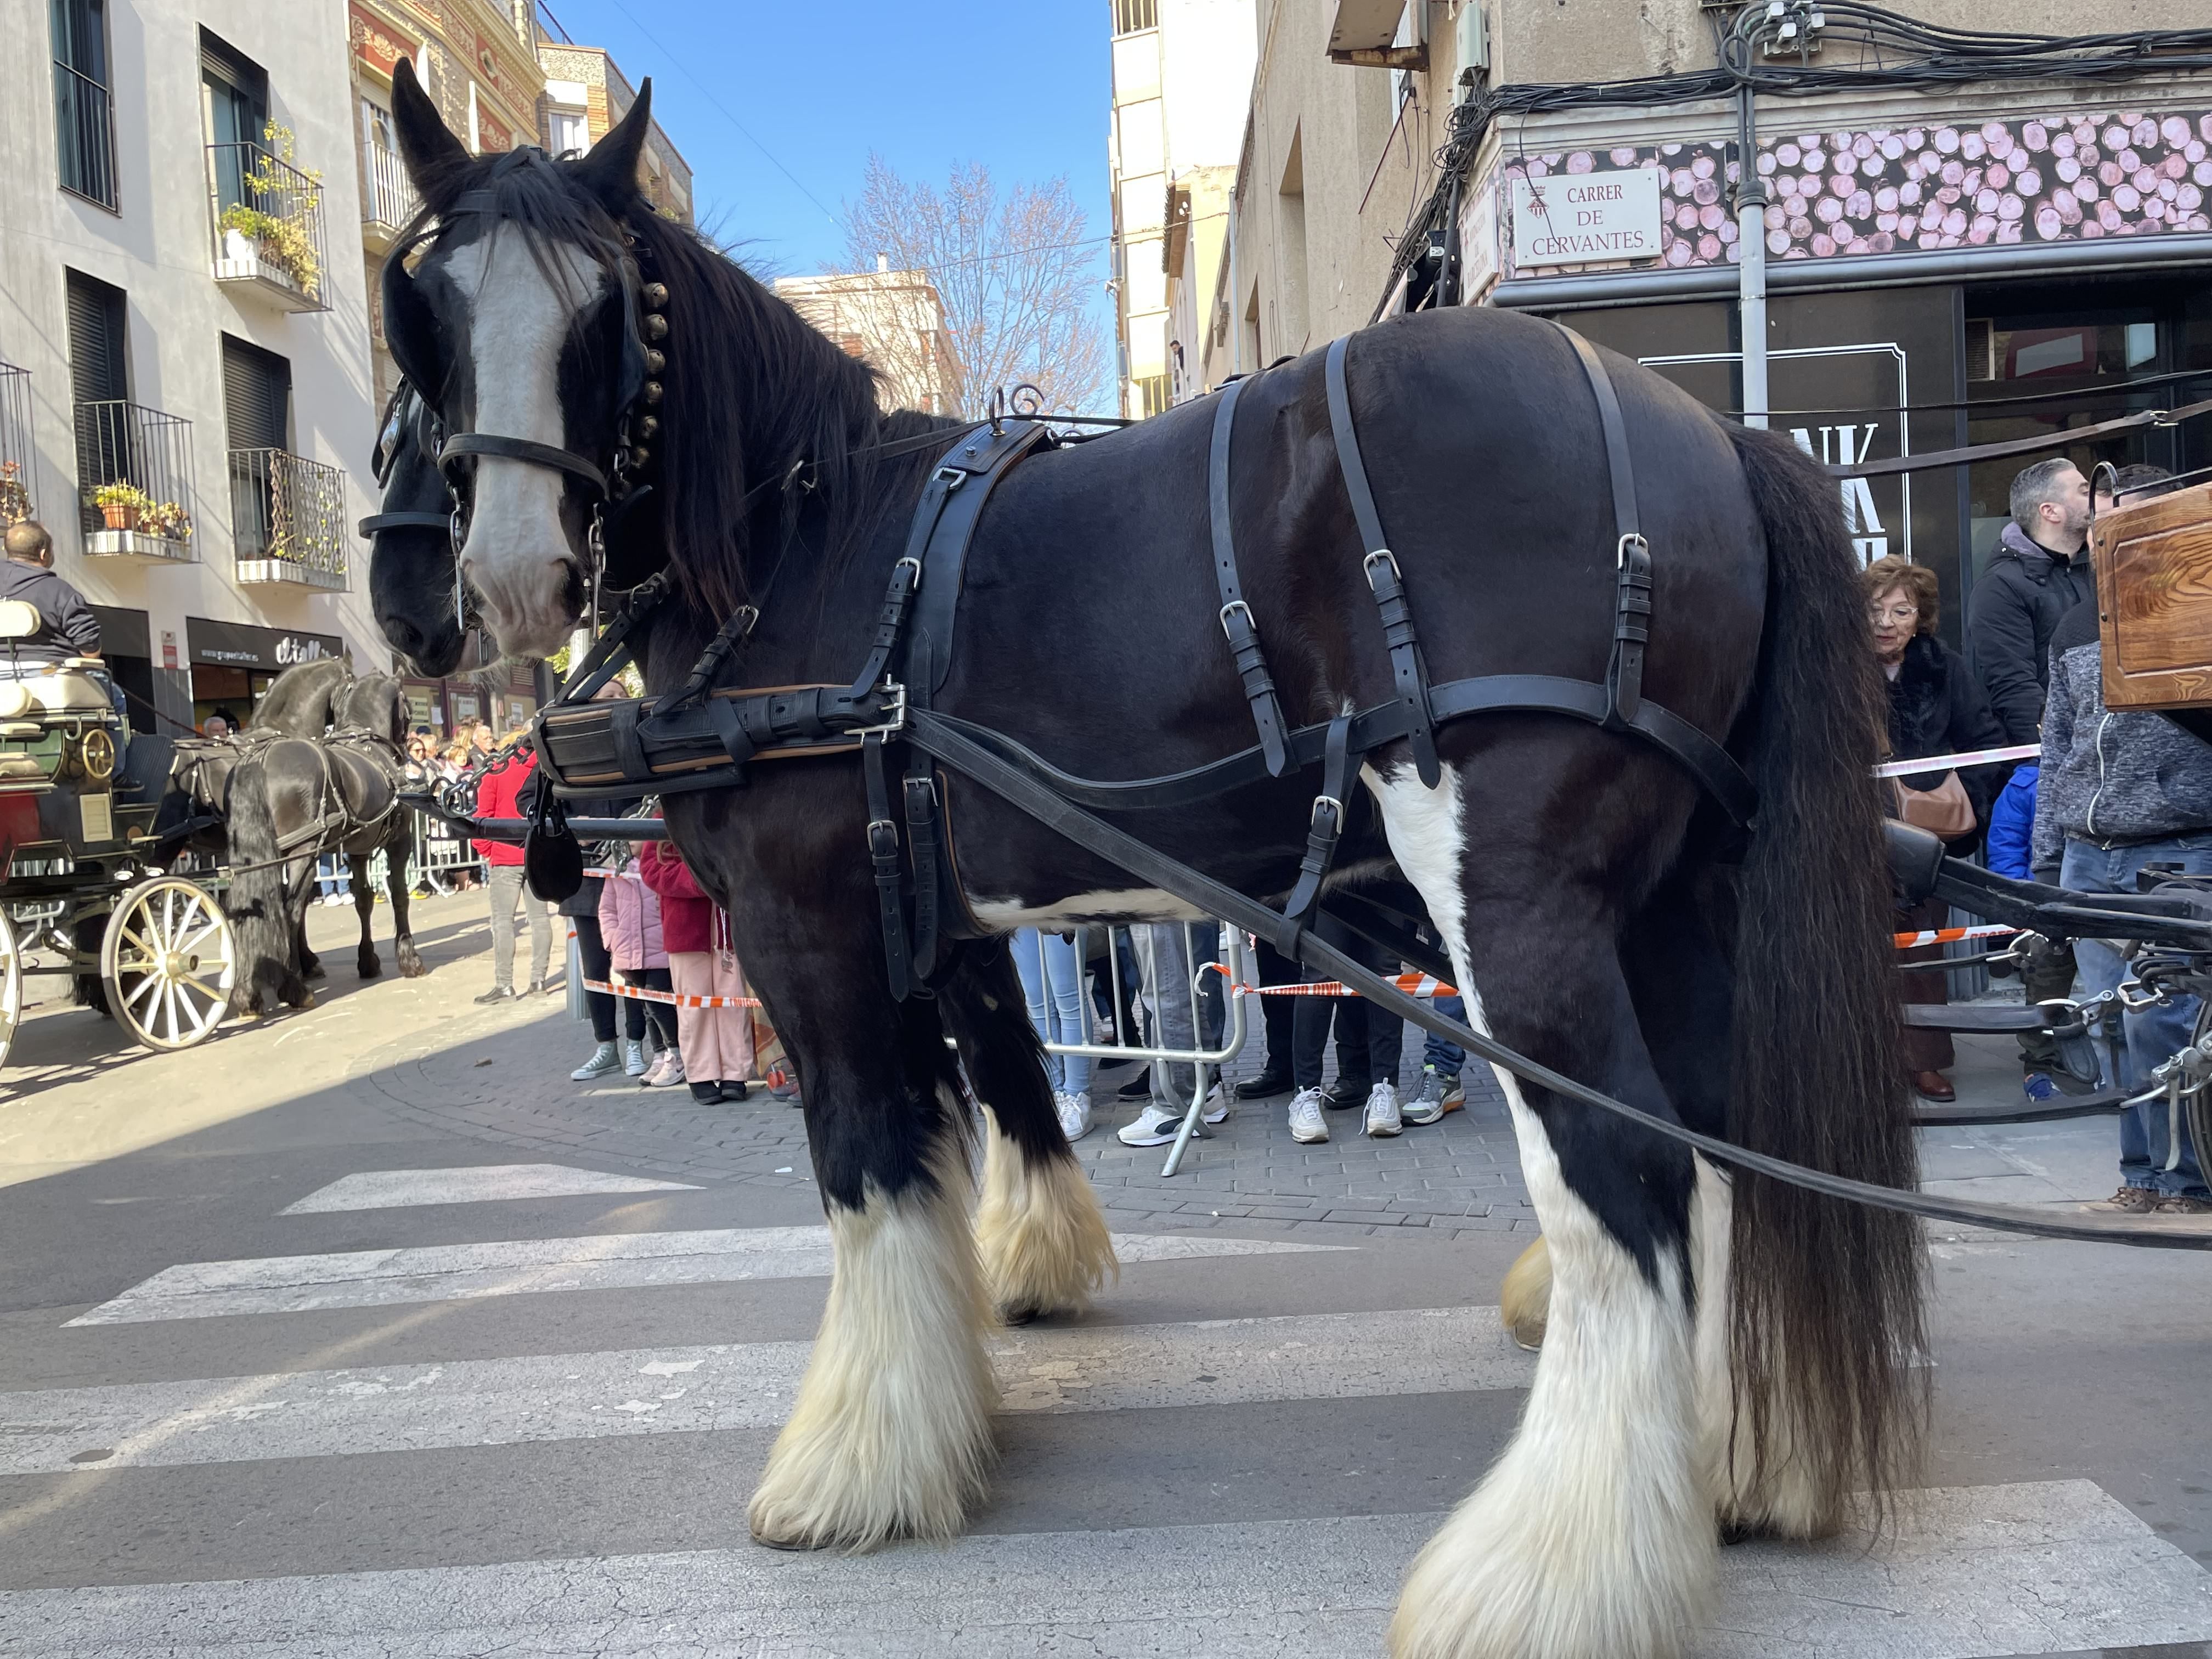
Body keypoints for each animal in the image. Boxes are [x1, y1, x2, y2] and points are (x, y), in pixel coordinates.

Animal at [376, 65, 1920, 1659]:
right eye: (422, 307)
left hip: (1521, 905)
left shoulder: (810, 929)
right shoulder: (951, 913)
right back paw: (1745, 1462)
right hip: (1679, 897)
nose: (475, 580)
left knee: (1628, 1166)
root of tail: (1702, 432)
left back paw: (1555, 1571)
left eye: (602, 311)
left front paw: (858, 1460)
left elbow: (870, 1161)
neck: (808, 548)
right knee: (1731, 1140)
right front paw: (1022, 1283)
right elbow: (1003, 1088)